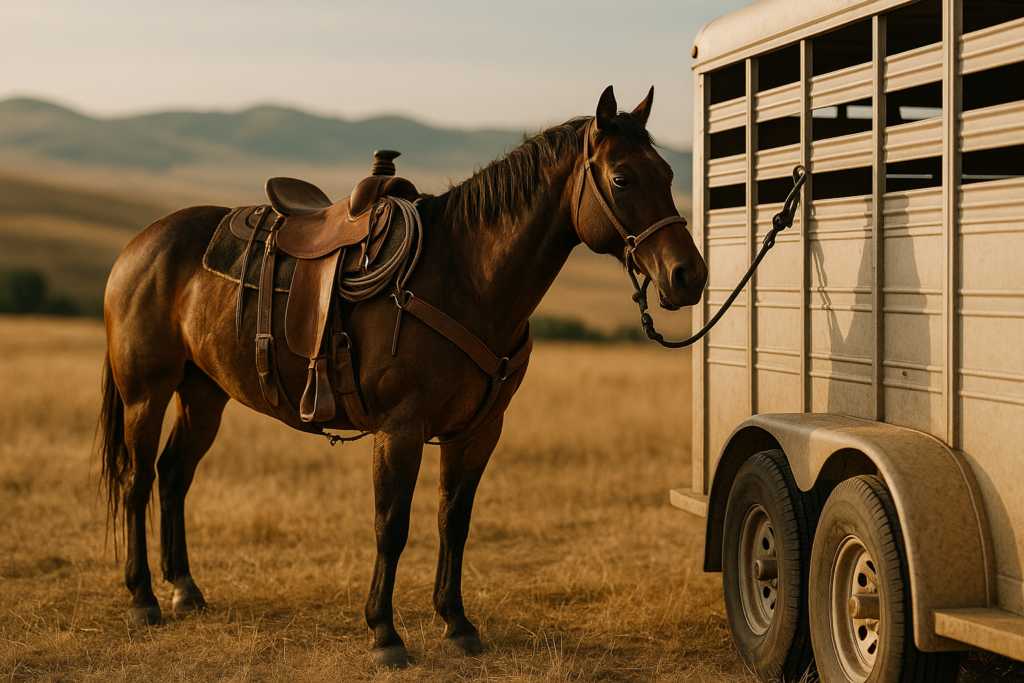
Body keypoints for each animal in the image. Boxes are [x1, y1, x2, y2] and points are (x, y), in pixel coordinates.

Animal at [98, 85, 708, 668]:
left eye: (669, 174)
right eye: (622, 178)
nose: (689, 276)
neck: (464, 277)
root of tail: (140, 243)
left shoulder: (478, 431)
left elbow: (453, 521)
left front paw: (457, 624)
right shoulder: (400, 428)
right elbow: (391, 526)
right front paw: (384, 634)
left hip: (204, 394)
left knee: (175, 475)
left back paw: (184, 589)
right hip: (146, 394)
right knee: (138, 480)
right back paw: (143, 598)